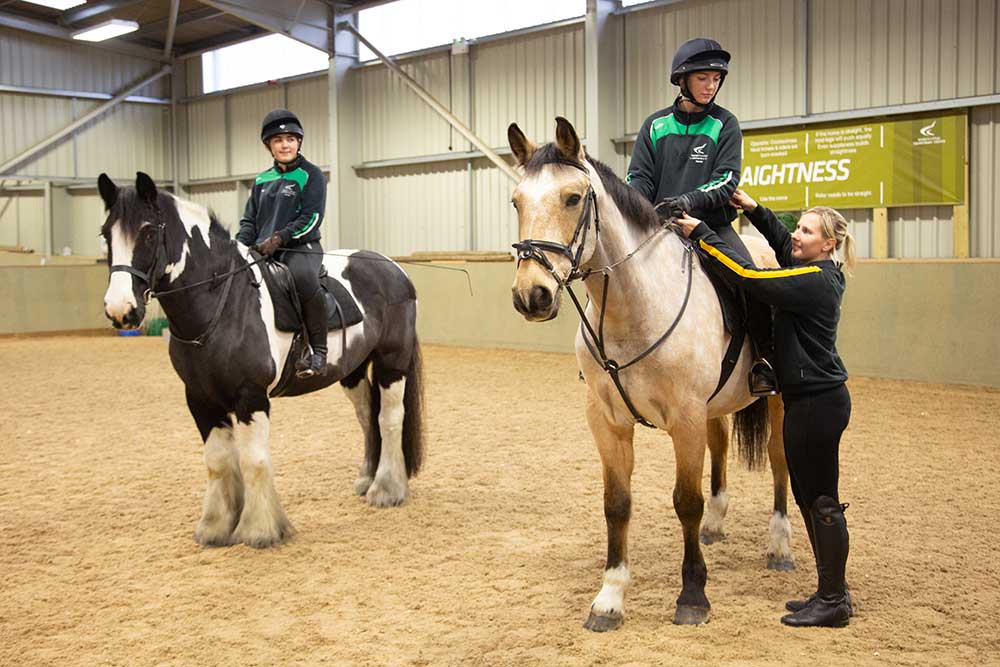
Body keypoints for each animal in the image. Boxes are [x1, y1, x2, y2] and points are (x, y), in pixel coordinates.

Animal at [95, 172, 420, 548]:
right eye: (106, 233)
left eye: (148, 231)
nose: (120, 310)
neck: (223, 304)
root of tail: (394, 270)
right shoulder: (200, 399)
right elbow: (218, 461)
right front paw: (216, 526)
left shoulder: (251, 396)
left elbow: (254, 460)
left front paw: (259, 529)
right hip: (351, 371)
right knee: (367, 418)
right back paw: (367, 479)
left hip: (391, 363)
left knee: (390, 418)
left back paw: (387, 489)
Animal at [512, 118, 792, 632]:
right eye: (516, 201)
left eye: (573, 198)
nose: (532, 295)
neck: (632, 307)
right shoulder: (608, 422)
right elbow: (617, 503)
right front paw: (609, 598)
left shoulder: (685, 419)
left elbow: (685, 501)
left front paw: (693, 596)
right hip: (714, 408)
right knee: (721, 446)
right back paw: (716, 526)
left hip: (778, 398)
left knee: (779, 458)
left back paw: (780, 545)